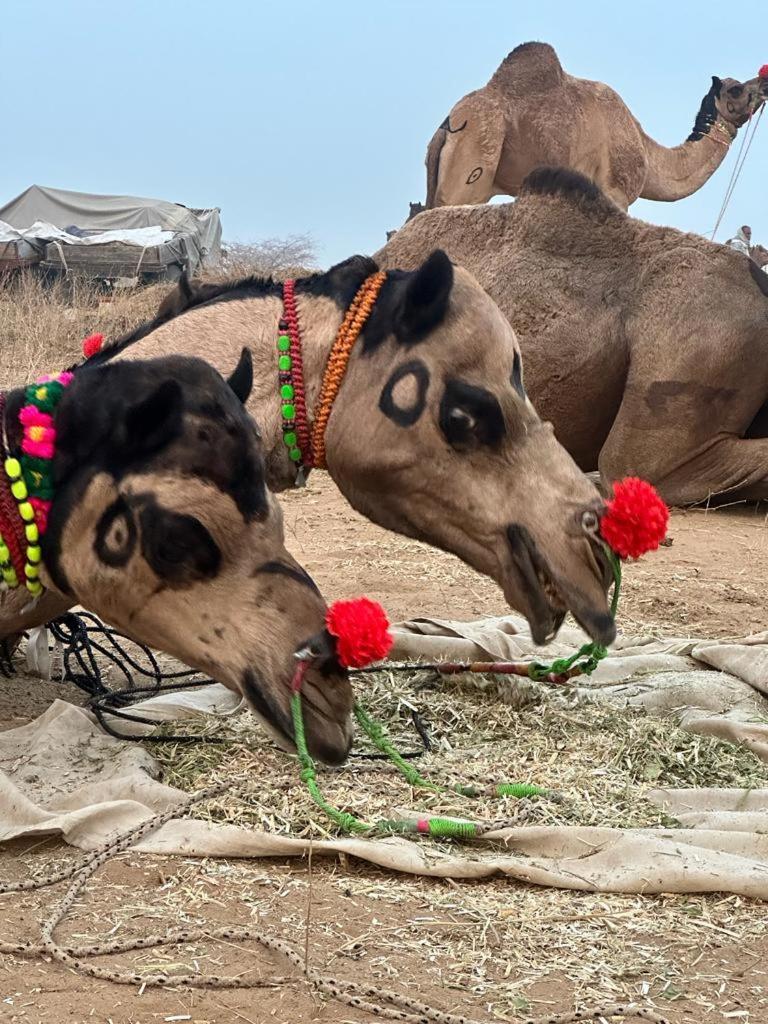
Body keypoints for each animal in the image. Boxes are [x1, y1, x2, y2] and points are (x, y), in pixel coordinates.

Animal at [421, 40, 768, 212]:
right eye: (736, 89)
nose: (764, 80)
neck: (645, 149)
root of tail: (448, 125)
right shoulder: (618, 194)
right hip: (476, 159)